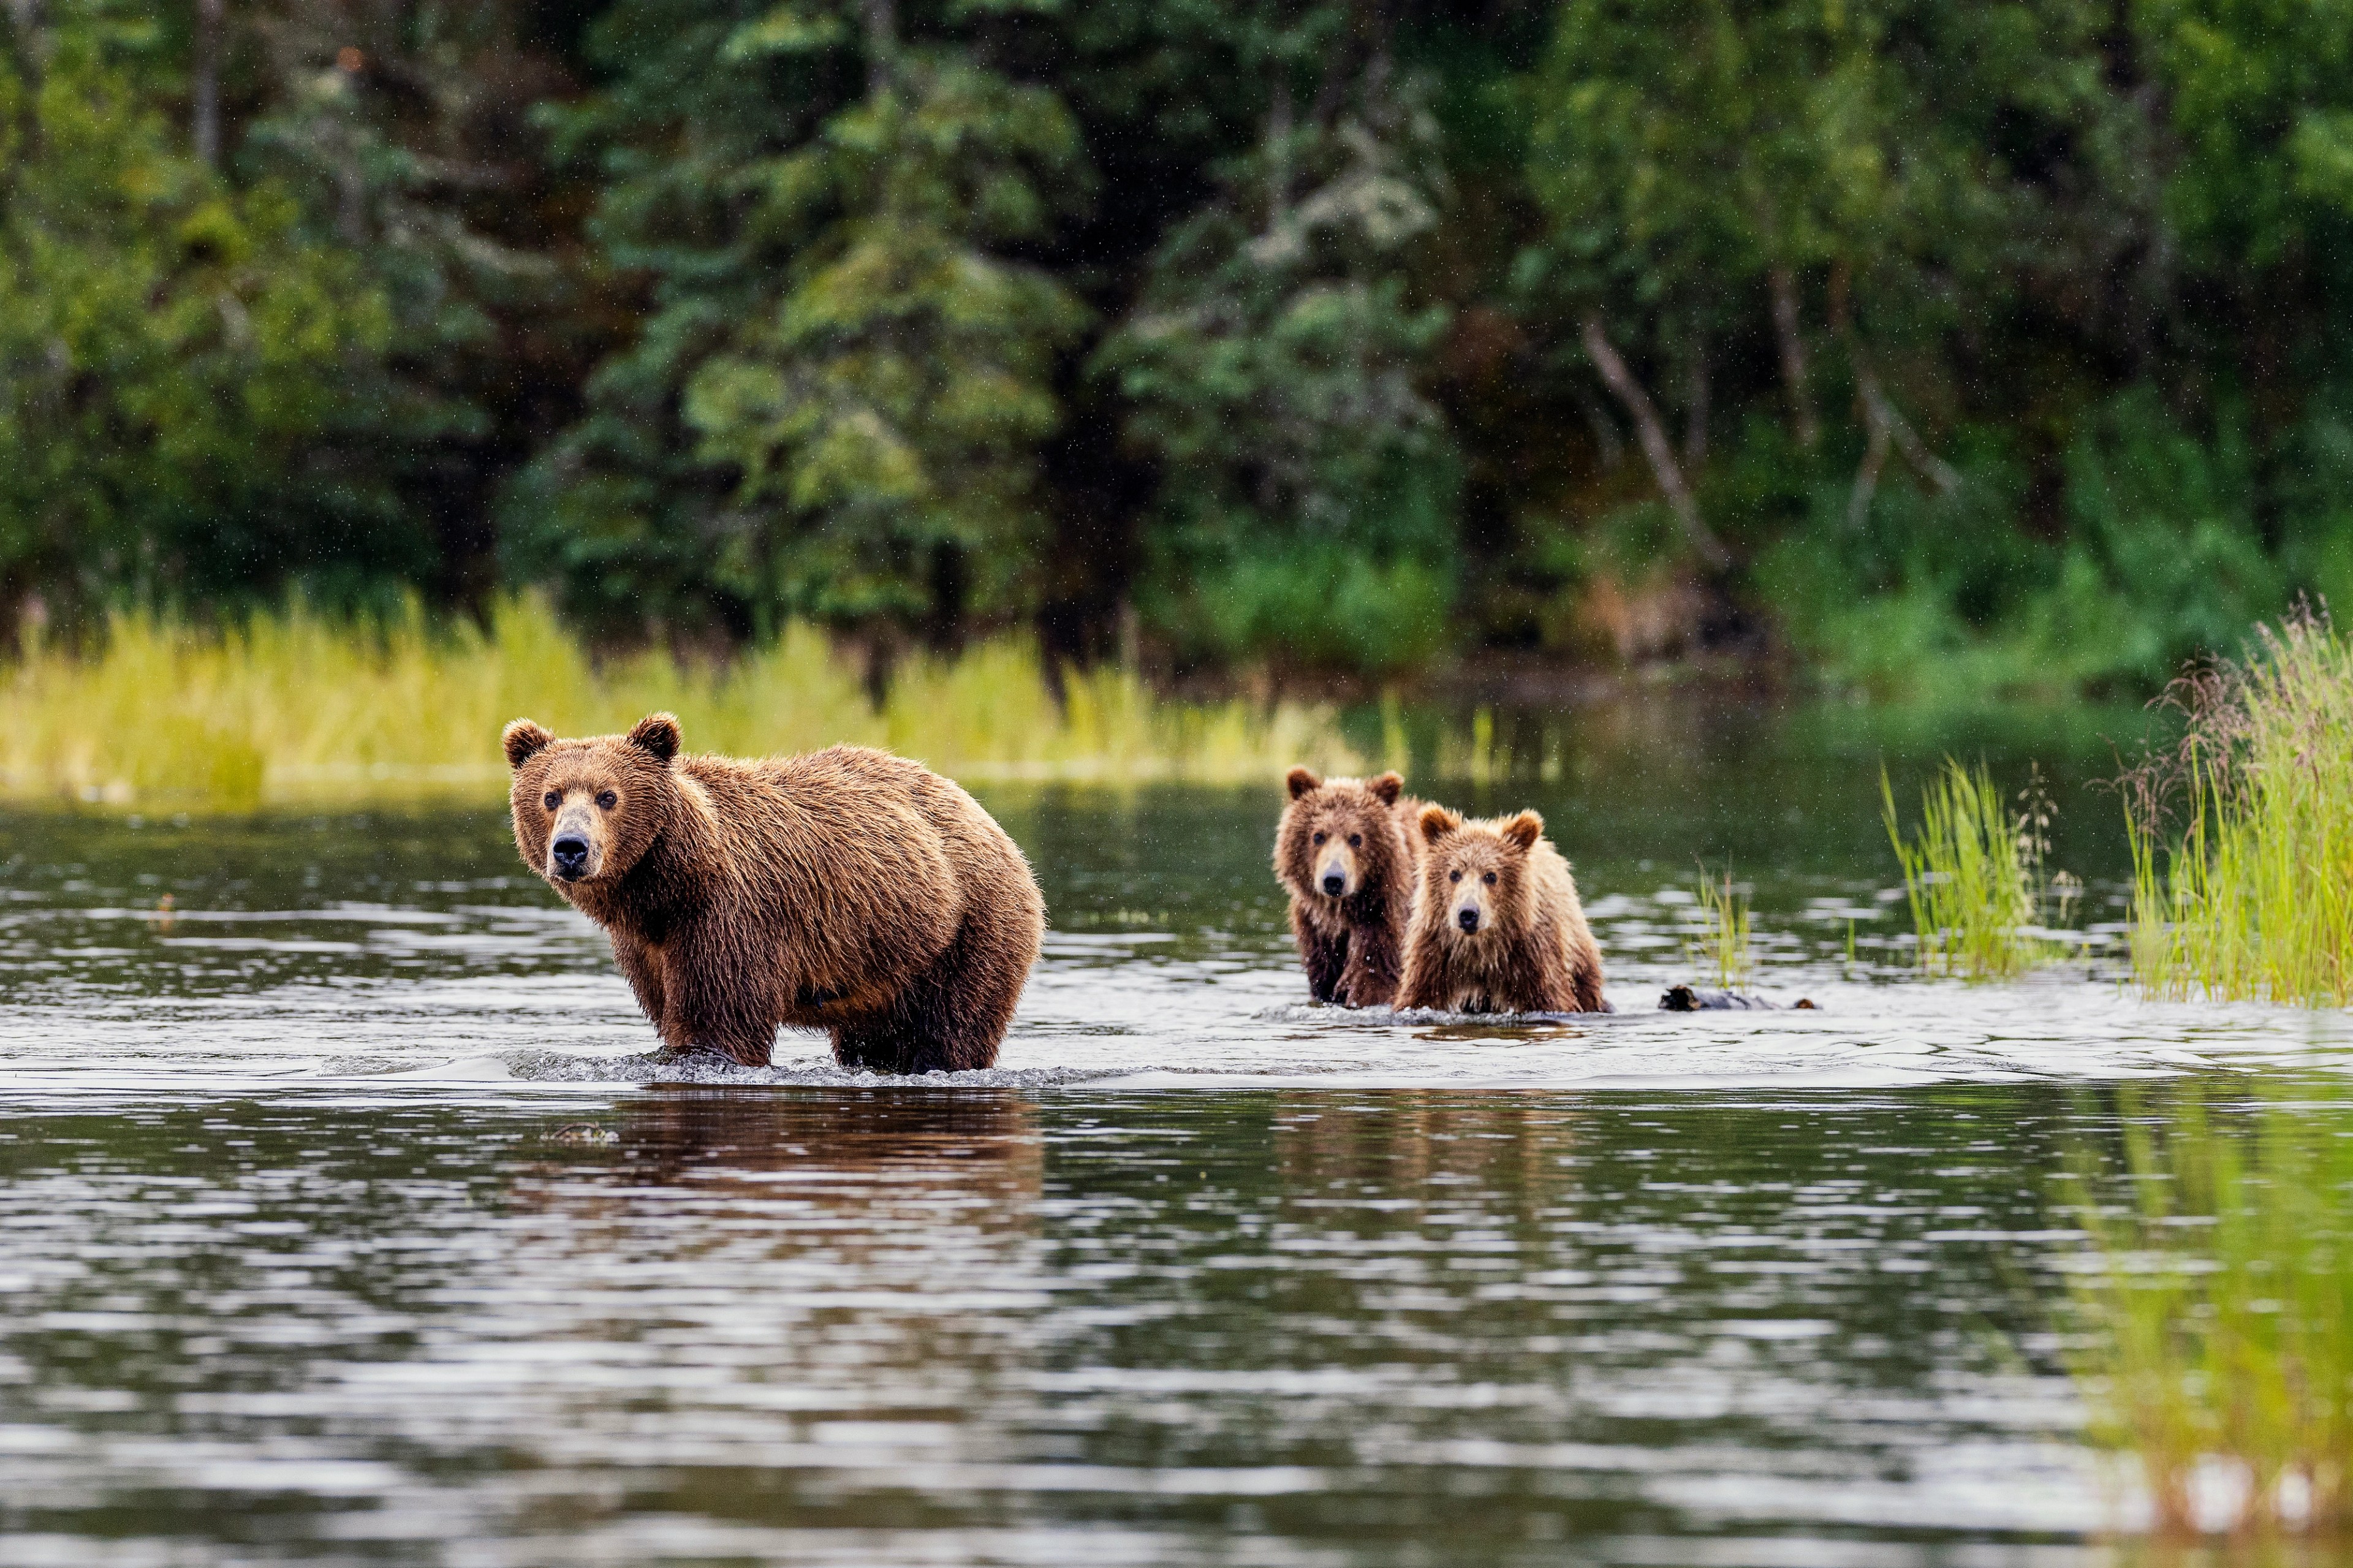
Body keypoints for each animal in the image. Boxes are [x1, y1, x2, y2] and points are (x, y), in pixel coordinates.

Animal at [502, 712, 1045, 1074]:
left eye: (608, 795)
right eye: (550, 796)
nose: (571, 848)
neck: (666, 888)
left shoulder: (731, 917)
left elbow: (719, 1022)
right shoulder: (648, 946)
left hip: (969, 929)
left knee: (953, 1029)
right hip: (888, 965)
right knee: (875, 1039)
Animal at [1273, 766, 1427, 1007]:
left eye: (1356, 838)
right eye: (1318, 836)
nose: (1334, 879)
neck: (1341, 914)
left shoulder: (1382, 921)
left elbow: (1374, 978)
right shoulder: (1316, 934)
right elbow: (1323, 981)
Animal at [1395, 805, 1608, 1015]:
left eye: (1491, 876)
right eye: (1454, 874)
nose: (1468, 914)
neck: (1481, 951)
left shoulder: (1533, 958)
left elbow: (1550, 998)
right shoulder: (1435, 954)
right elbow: (1419, 997)